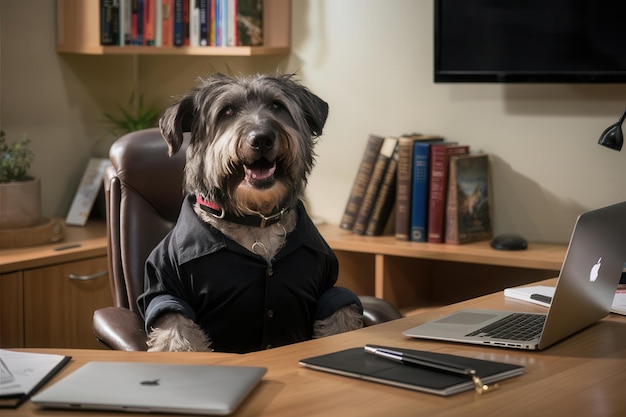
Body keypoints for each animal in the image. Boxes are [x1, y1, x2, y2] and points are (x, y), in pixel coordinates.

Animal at [136, 74, 360, 352]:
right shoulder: (165, 292)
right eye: (227, 111)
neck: (255, 220)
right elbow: (178, 333)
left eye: (277, 106)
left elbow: (341, 316)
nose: (262, 138)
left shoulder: (328, 289)